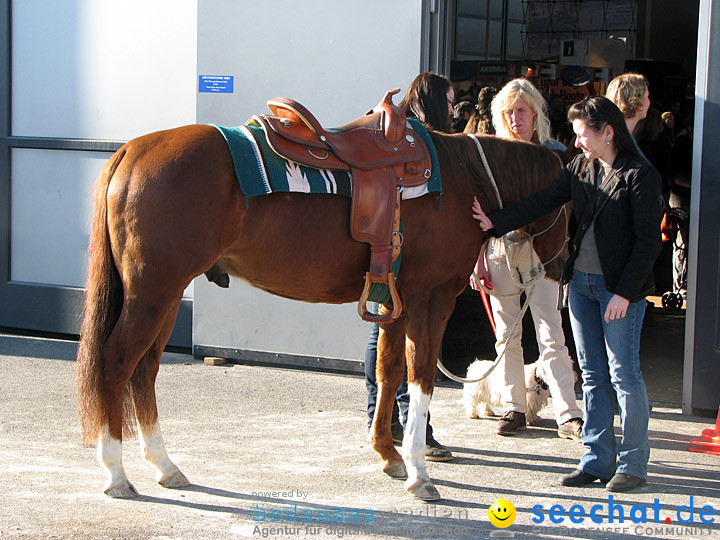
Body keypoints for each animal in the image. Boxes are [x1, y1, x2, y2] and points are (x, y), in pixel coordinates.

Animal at [74, 123, 568, 502]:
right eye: (569, 203)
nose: (561, 270)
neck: (464, 178)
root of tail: (132, 151)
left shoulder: (396, 304)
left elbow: (388, 373)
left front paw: (388, 456)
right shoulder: (431, 300)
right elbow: (421, 379)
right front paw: (419, 474)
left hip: (167, 296)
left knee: (145, 369)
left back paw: (165, 465)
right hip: (152, 293)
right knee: (117, 364)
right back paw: (116, 473)